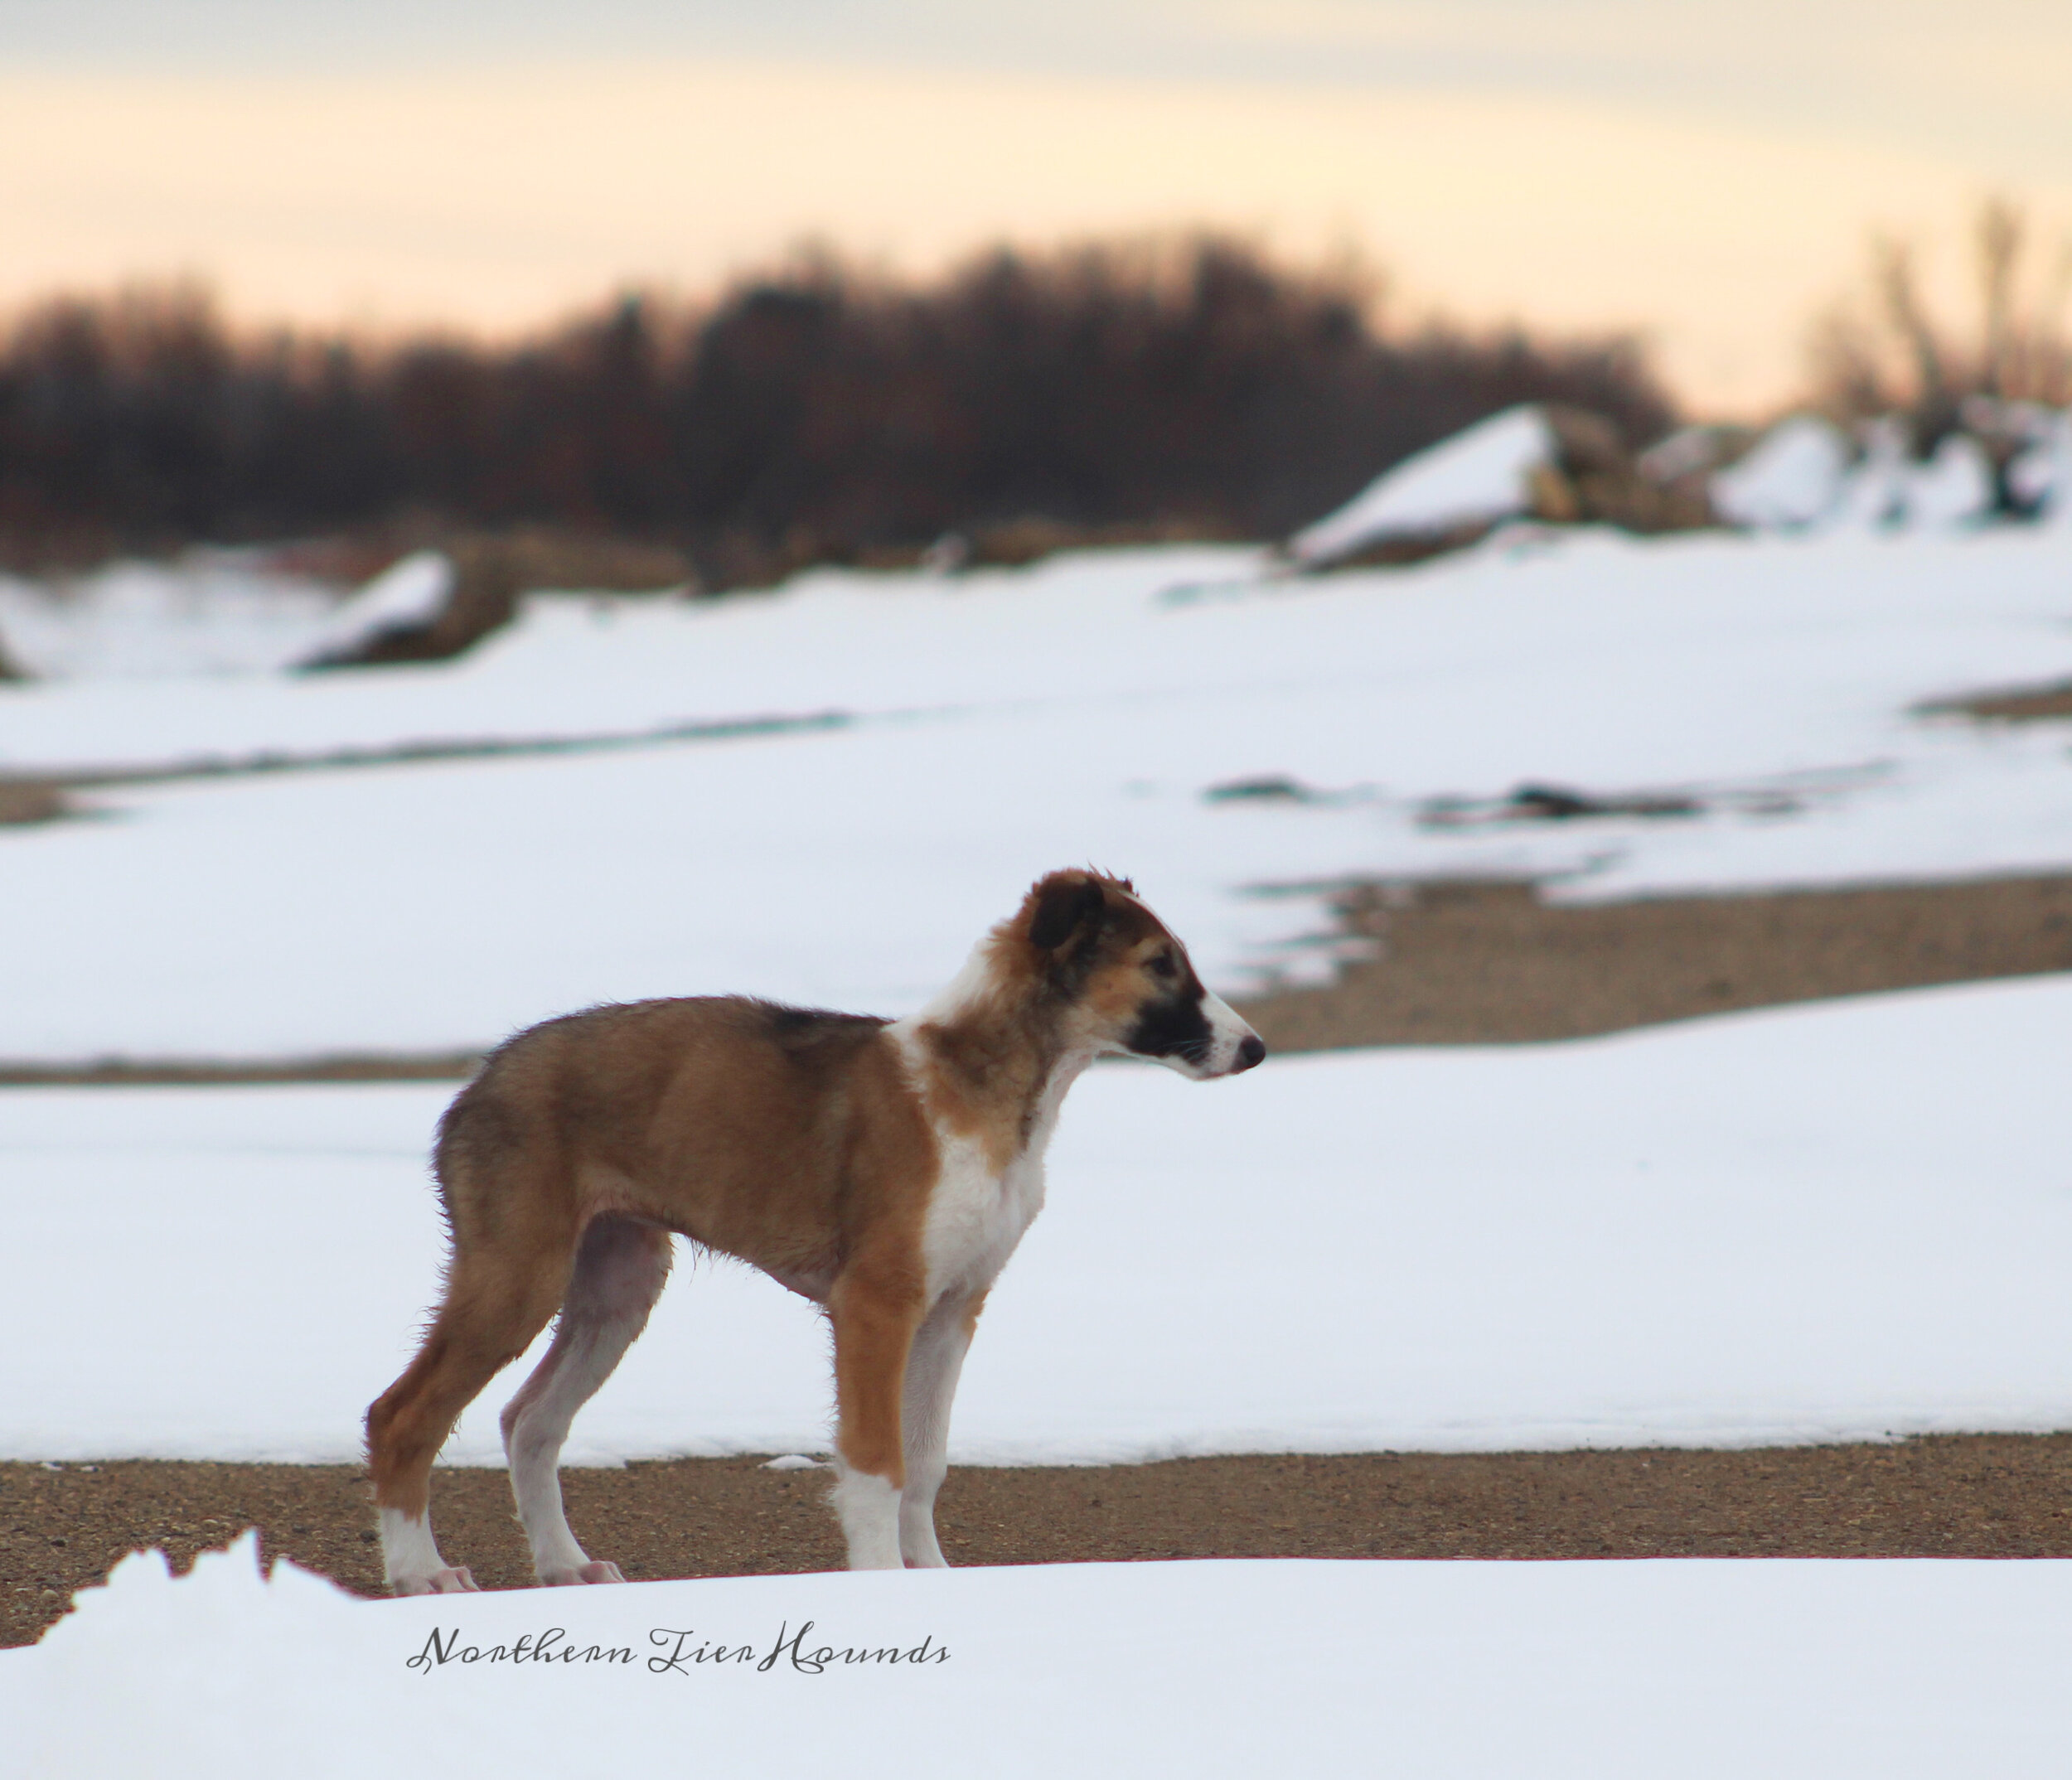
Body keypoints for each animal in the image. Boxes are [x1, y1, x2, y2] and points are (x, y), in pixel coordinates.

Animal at [366, 870, 1260, 1591]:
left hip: (615, 1289)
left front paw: (932, 1579)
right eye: (1159, 964)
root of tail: (481, 1080)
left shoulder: (953, 1309)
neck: (976, 1087)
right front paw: (877, 1583)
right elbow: (876, 1463)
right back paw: (420, 1573)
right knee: (401, 1417)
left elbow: (926, 1464)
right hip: (519, 1276)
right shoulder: (875, 1304)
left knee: (531, 1422)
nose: (1254, 1049)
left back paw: (564, 1565)